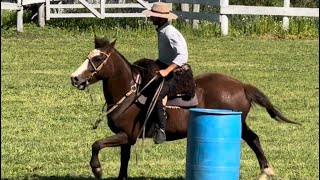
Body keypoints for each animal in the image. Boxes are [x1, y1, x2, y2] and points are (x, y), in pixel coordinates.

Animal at [69, 35, 300, 179]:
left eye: (98, 58)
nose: (75, 78)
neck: (131, 93)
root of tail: (242, 85)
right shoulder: (125, 137)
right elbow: (123, 161)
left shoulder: (126, 135)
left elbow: (96, 144)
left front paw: (97, 170)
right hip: (240, 123)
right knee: (254, 138)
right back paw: (266, 171)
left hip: (238, 121)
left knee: (253, 139)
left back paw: (267, 170)